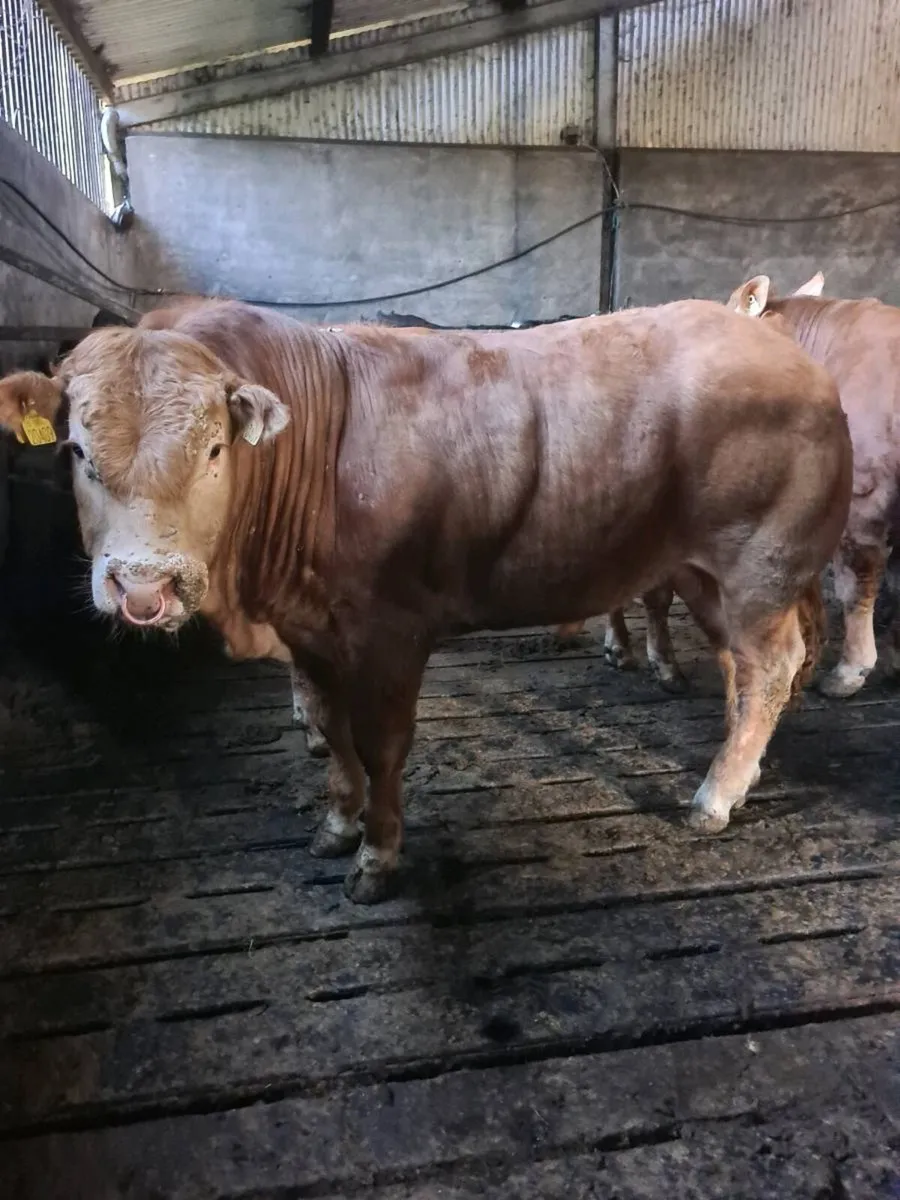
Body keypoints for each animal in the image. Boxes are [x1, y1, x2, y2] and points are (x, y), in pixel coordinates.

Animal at [5, 297, 852, 903]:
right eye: (76, 450)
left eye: (215, 449)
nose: (144, 586)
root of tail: (790, 354)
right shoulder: (311, 633)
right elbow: (333, 734)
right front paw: (337, 823)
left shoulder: (389, 631)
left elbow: (380, 745)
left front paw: (378, 856)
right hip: (707, 576)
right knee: (743, 669)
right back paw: (742, 772)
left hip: (759, 565)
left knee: (773, 665)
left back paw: (717, 794)